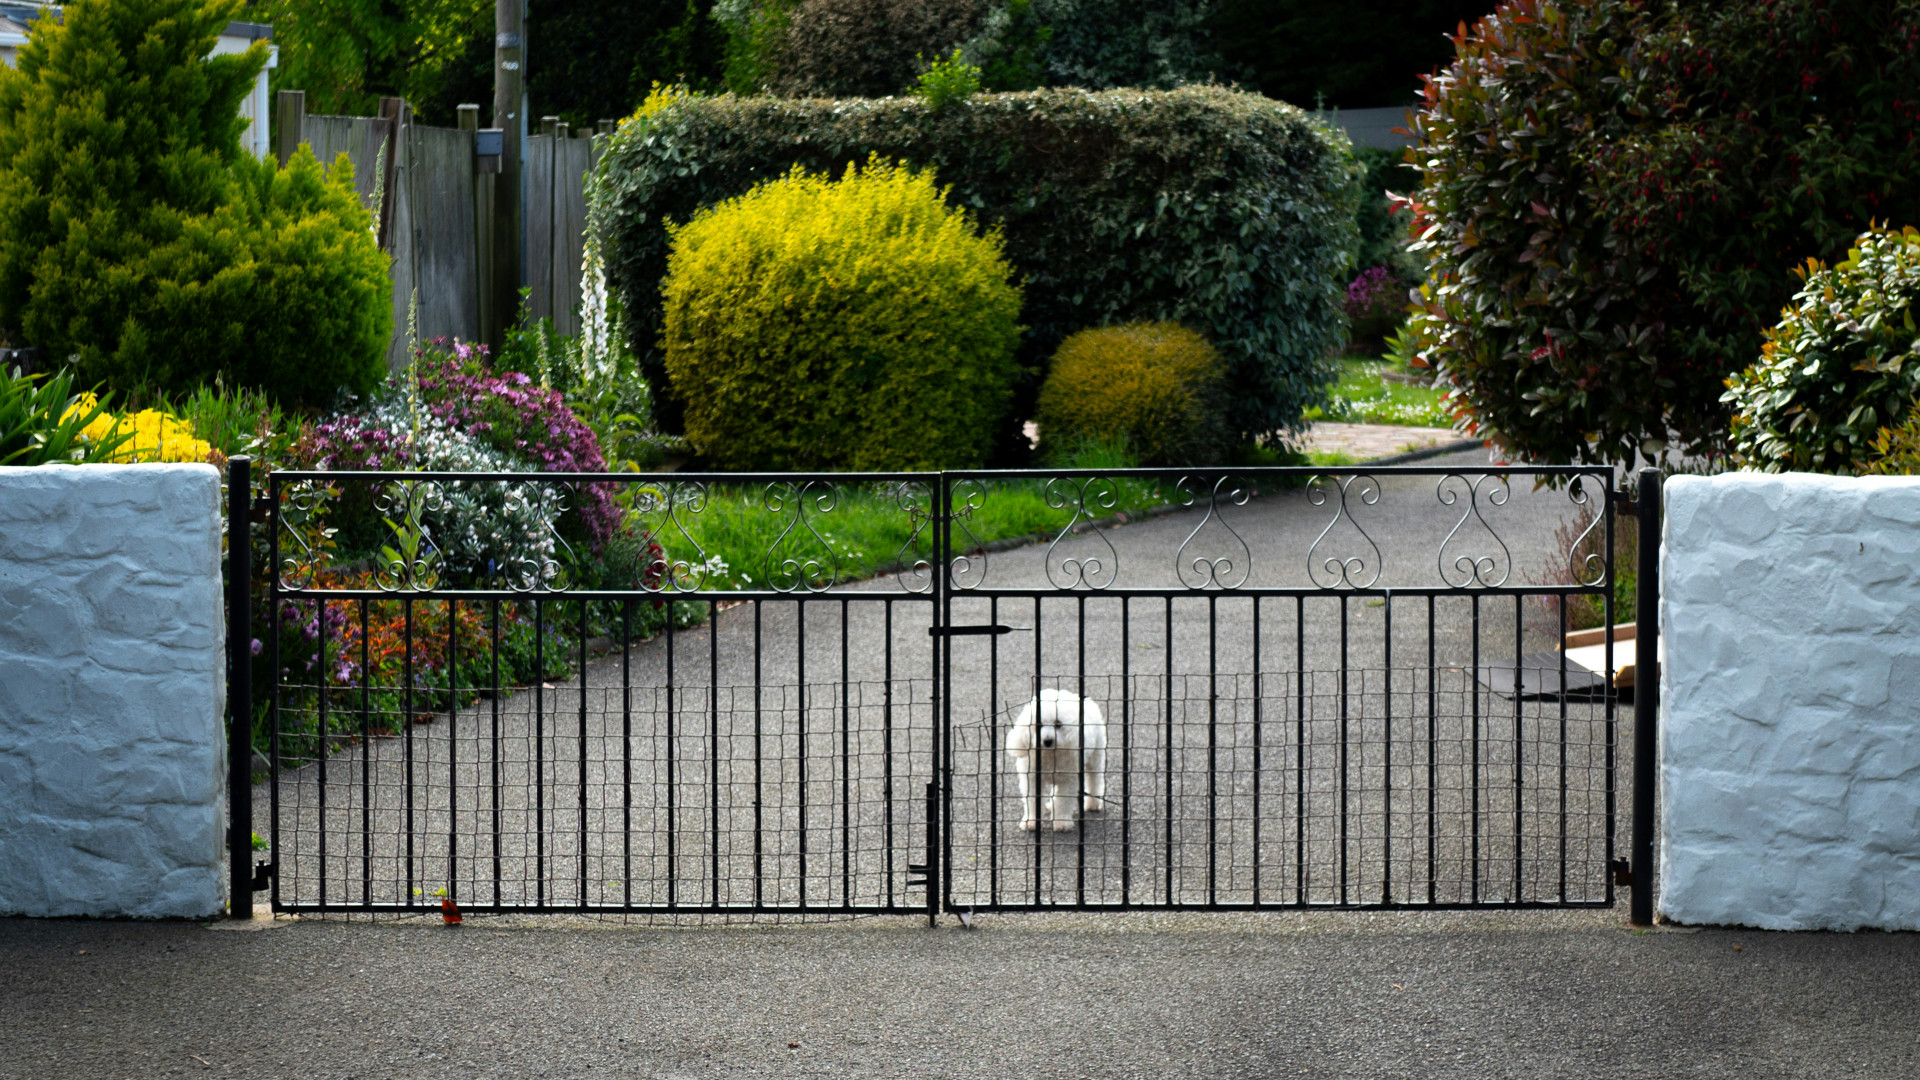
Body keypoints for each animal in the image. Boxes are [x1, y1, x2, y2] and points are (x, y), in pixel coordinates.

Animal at [1006, 684, 1113, 826]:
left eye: (1058, 724)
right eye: (1037, 725)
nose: (1047, 741)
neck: (1050, 754)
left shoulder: (1068, 778)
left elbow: (1063, 801)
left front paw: (1062, 823)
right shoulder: (1032, 778)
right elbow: (1032, 800)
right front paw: (1031, 822)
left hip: (1095, 755)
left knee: (1094, 778)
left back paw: (1092, 804)